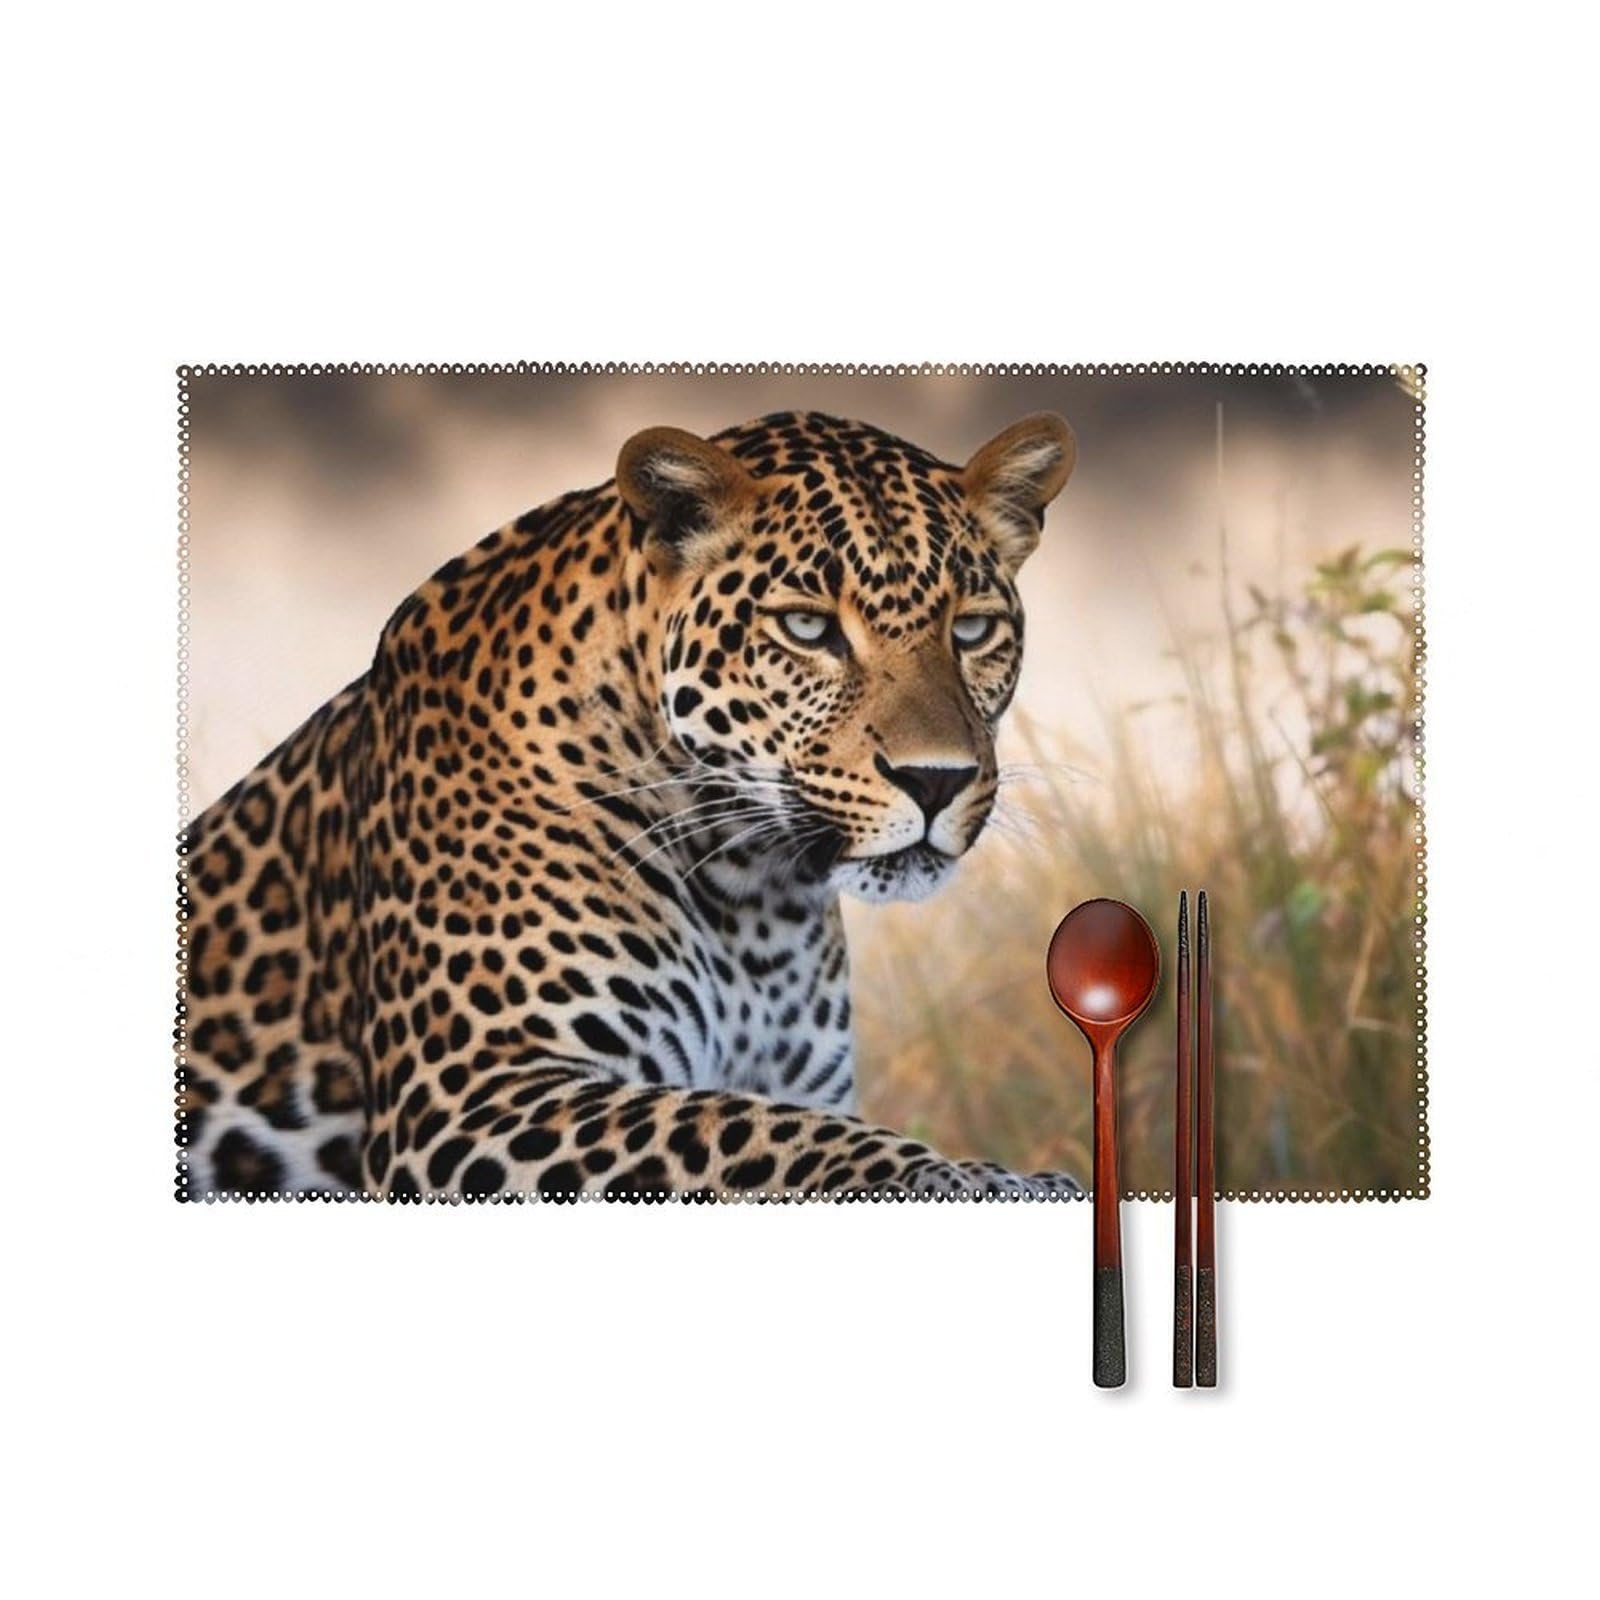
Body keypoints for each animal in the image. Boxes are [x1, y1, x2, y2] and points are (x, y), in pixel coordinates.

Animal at [179, 408, 1084, 1201]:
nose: (936, 780)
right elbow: (749, 1128)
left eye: (971, 631)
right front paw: (975, 1179)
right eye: (807, 628)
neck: (755, 893)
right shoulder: (468, 1101)